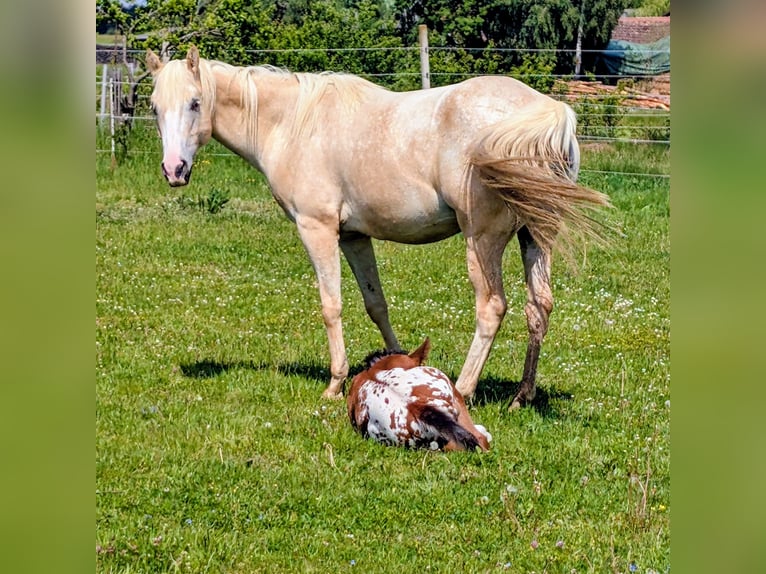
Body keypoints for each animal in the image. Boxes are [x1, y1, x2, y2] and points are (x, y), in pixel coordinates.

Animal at [146, 46, 610, 409]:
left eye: (194, 102)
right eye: (154, 107)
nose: (174, 170)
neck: (292, 124)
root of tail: (545, 111)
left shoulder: (318, 230)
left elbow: (331, 306)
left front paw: (334, 384)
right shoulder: (355, 237)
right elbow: (376, 304)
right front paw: (399, 365)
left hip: (483, 241)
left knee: (492, 308)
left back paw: (463, 389)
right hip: (536, 237)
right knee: (539, 306)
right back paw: (521, 396)